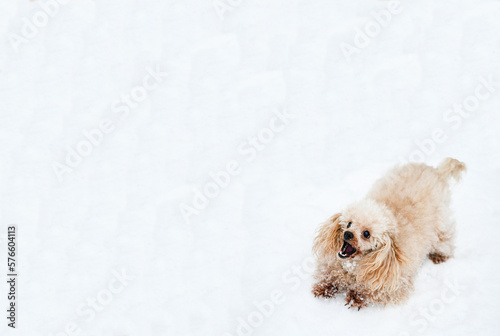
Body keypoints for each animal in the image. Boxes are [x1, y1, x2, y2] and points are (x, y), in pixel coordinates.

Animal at [310, 158, 466, 310]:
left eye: (366, 233)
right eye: (349, 224)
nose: (347, 234)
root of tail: (436, 170)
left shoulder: (396, 283)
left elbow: (374, 291)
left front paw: (357, 296)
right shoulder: (334, 263)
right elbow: (330, 273)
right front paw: (325, 287)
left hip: (441, 224)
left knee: (445, 238)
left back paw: (440, 255)